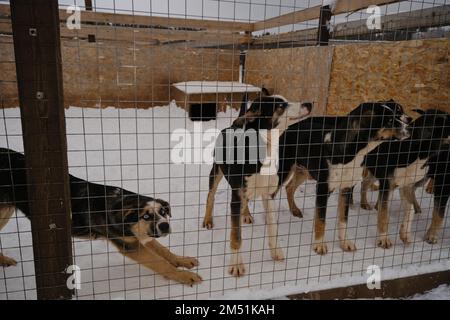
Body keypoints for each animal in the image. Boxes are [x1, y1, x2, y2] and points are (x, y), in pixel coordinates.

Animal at [0, 148, 201, 284]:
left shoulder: (138, 236)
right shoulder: (130, 245)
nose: (165, 226)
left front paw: (182, 260)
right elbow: (159, 262)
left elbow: (163, 250)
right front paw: (185, 276)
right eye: (145, 216)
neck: (119, 207)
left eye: (163, 212)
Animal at [278, 100, 412, 255]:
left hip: (305, 171)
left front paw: (344, 243)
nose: (410, 127)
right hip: (283, 171)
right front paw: (319, 245)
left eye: (397, 114)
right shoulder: (323, 189)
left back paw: (295, 210)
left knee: (289, 187)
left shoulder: (346, 189)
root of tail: (291, 127)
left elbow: (343, 220)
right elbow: (321, 220)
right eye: (389, 120)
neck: (351, 153)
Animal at [362, 109, 450, 246]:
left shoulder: (405, 186)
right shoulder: (388, 184)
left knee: (365, 183)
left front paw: (405, 234)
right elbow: (384, 214)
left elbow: (410, 209)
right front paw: (384, 239)